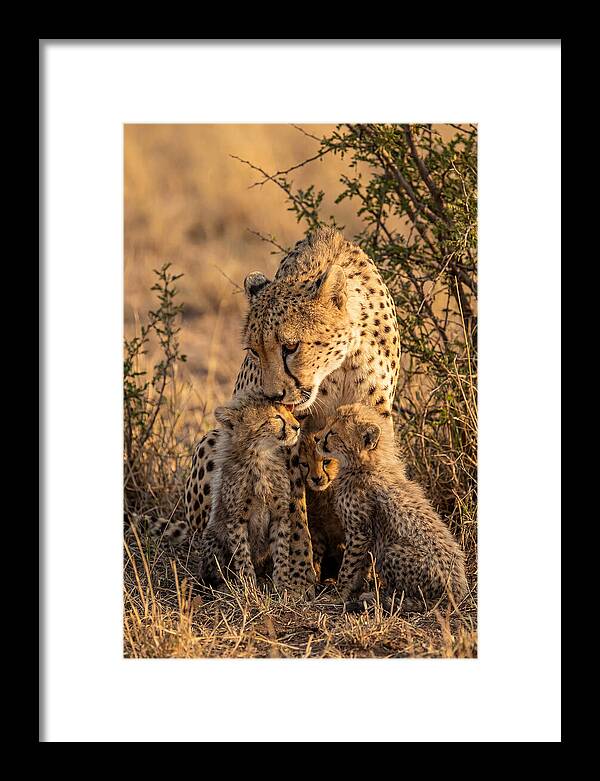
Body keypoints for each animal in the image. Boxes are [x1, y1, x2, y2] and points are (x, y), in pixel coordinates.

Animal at [198, 390, 301, 590]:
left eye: (288, 412)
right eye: (276, 417)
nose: (297, 426)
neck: (260, 458)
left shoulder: (280, 515)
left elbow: (281, 550)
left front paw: (282, 584)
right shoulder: (236, 519)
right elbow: (242, 553)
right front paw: (248, 586)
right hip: (212, 537)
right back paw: (224, 585)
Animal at [317, 403, 468, 613]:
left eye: (333, 432)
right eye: (327, 425)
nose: (316, 438)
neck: (365, 464)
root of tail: (457, 592)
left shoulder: (359, 532)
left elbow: (349, 566)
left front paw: (338, 594)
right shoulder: (366, 535)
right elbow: (361, 565)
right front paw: (354, 588)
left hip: (392, 551)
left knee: (413, 596)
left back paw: (379, 597)